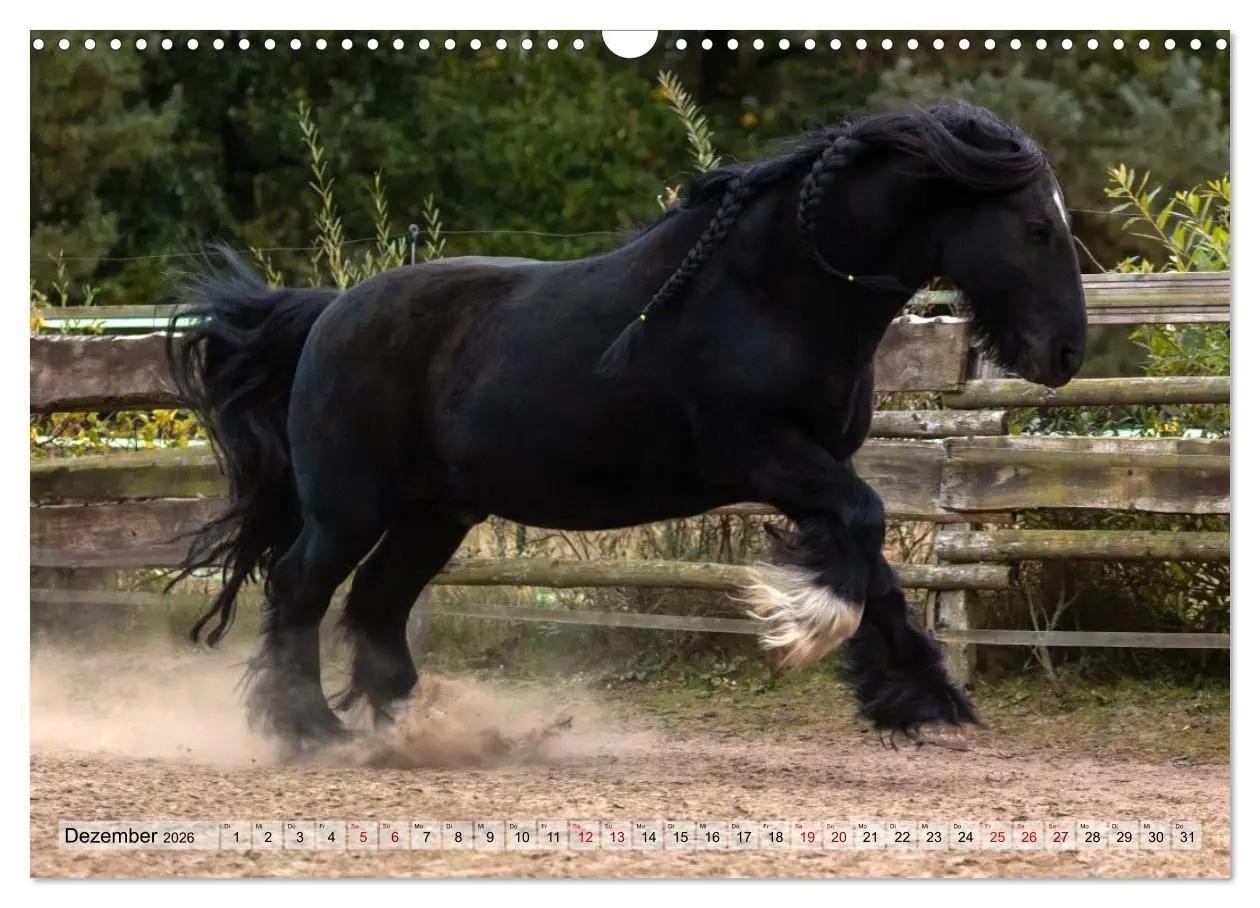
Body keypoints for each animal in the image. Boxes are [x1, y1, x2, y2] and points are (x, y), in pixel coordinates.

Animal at [166, 99, 1086, 754]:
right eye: (1036, 227)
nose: (1065, 352)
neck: (770, 290)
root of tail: (326, 313)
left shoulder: (814, 467)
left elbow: (873, 561)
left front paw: (917, 696)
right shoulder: (761, 453)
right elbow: (865, 527)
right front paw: (800, 630)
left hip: (437, 512)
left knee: (376, 601)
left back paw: (417, 728)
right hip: (349, 507)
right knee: (299, 587)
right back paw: (307, 730)